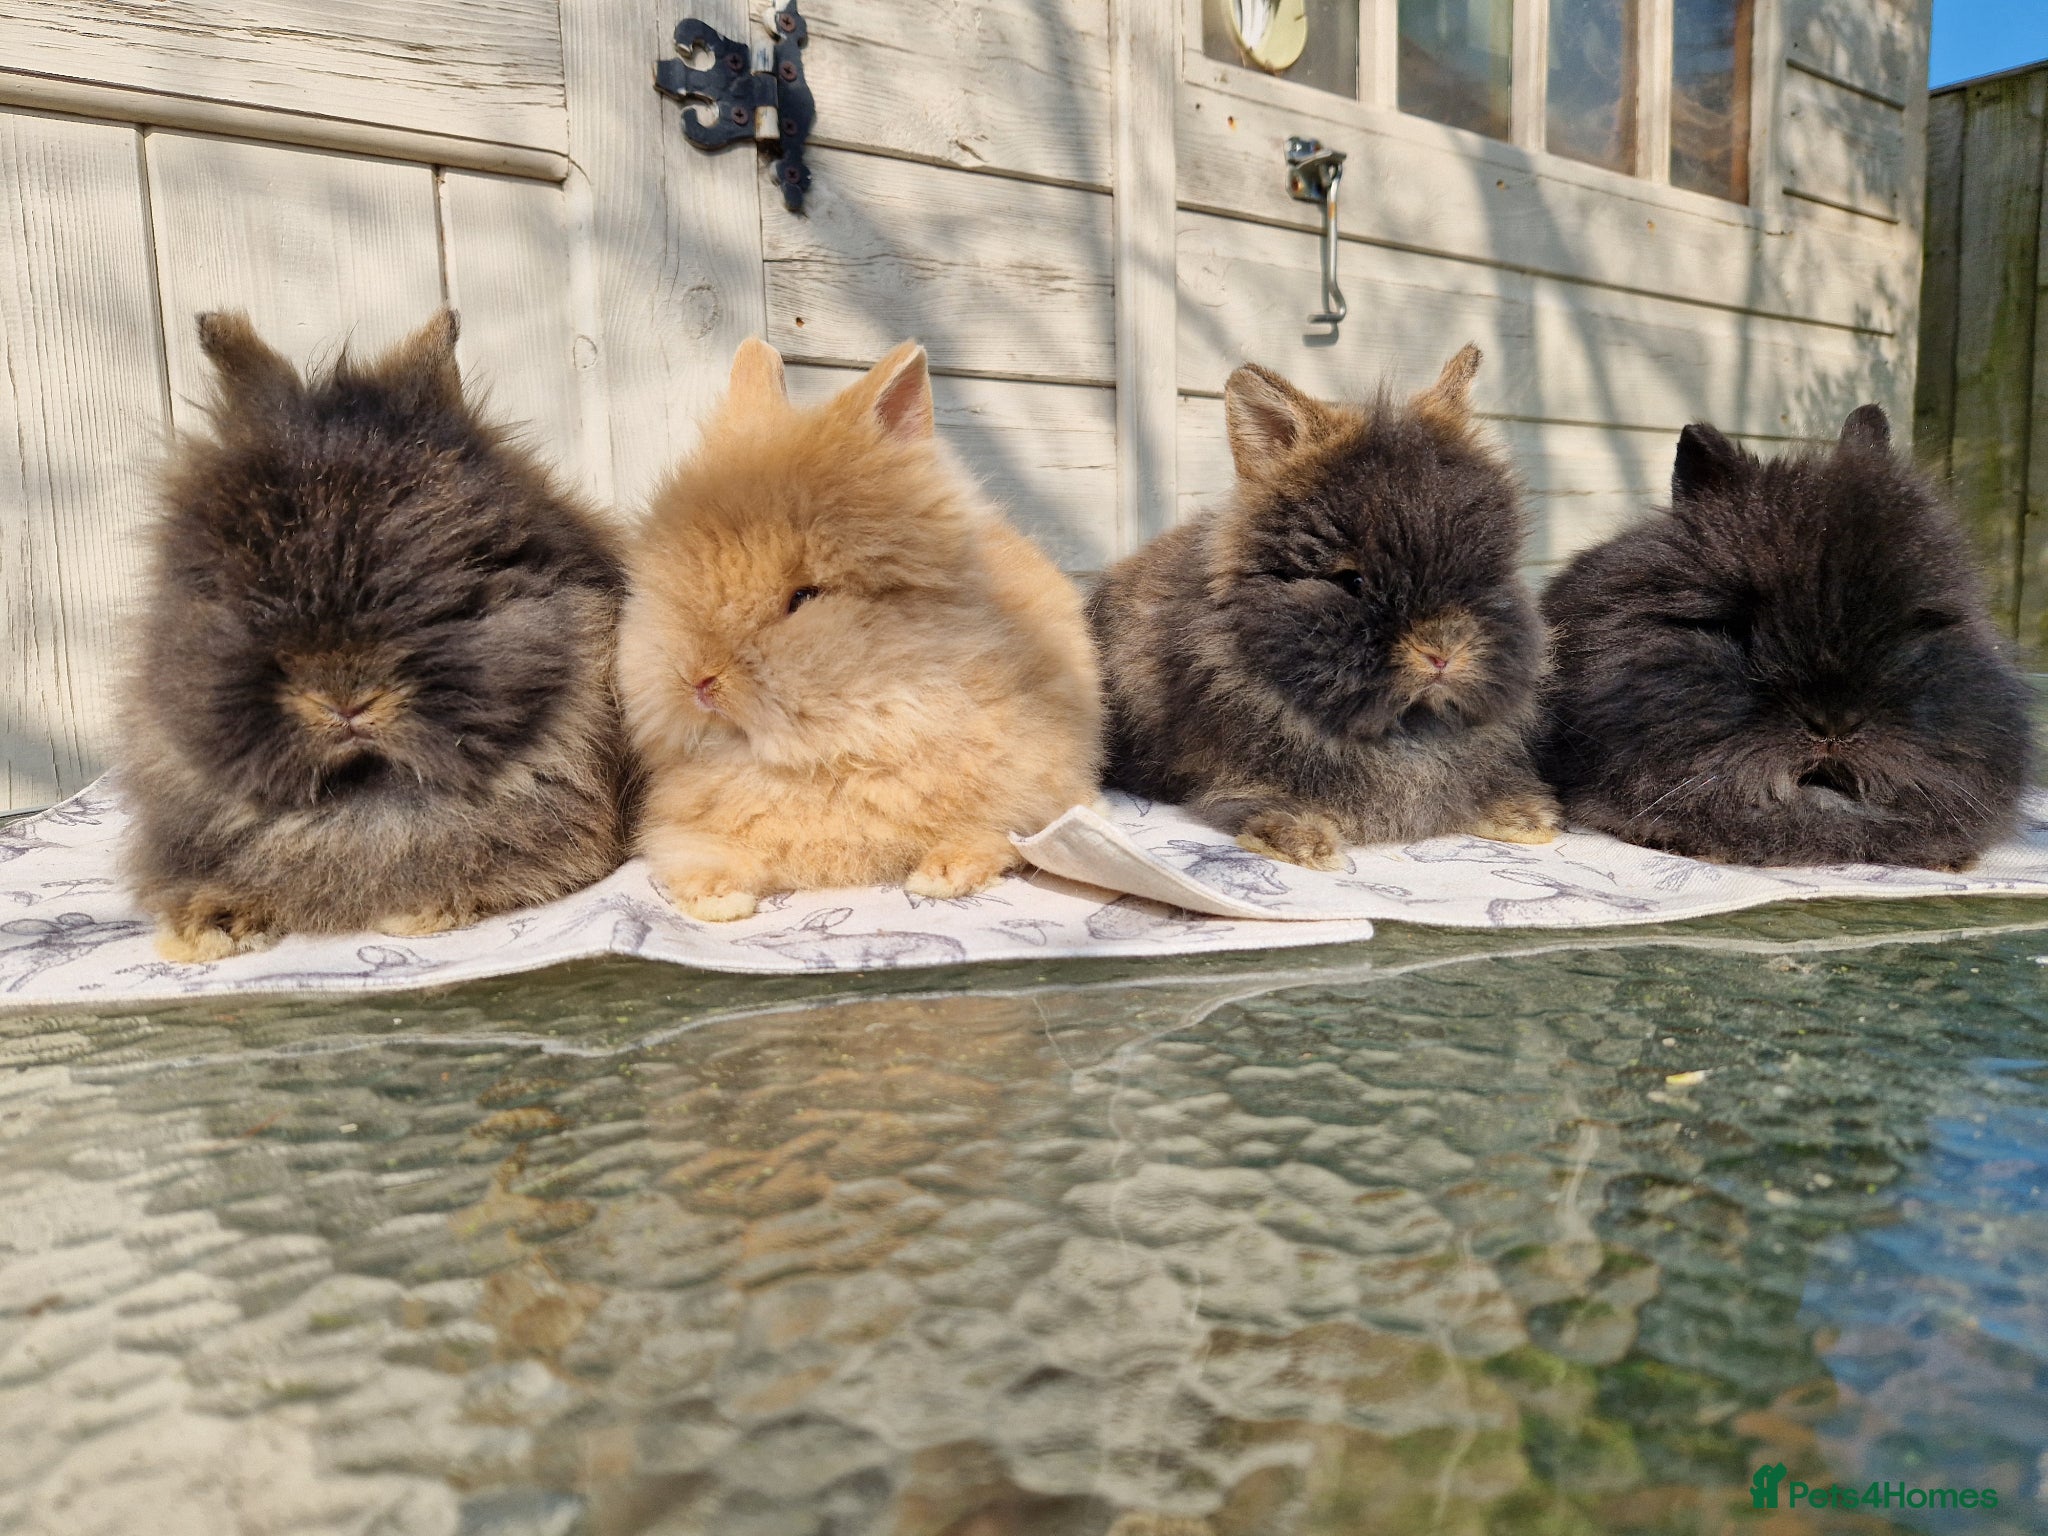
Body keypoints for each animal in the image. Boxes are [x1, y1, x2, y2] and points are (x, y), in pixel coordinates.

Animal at [618, 337, 1101, 922]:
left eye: (804, 598)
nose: (699, 681)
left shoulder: (1031, 783)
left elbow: (999, 831)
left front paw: (943, 875)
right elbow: (695, 852)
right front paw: (717, 900)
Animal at [1087, 346, 1560, 870]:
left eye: (1485, 573)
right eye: (1351, 581)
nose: (1442, 652)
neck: (1403, 726)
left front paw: (1526, 819)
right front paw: (1302, 841)